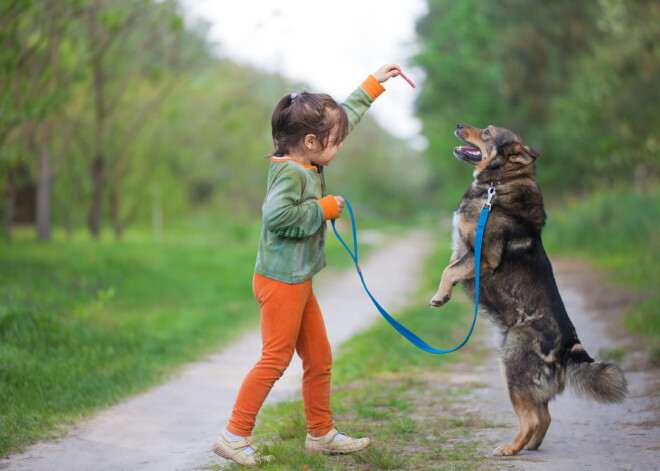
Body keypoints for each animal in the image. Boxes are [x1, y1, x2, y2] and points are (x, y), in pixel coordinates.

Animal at [430, 124, 628, 458]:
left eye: (486, 132)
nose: (458, 125)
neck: (499, 184)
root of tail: (569, 344)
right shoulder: (465, 252)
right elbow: (452, 265)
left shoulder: (483, 256)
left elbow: (449, 270)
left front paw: (441, 296)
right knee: (544, 416)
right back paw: (531, 446)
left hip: (511, 369)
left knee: (533, 418)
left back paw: (510, 448)